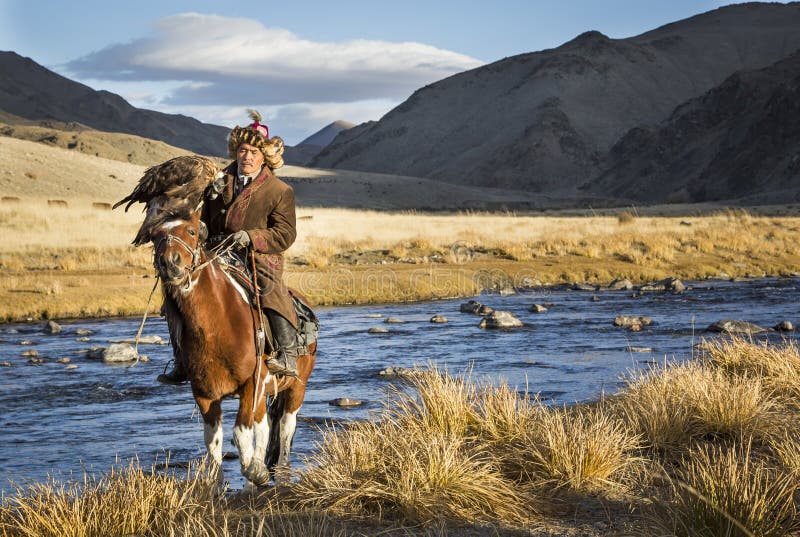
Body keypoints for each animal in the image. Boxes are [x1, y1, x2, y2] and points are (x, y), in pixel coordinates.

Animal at [150, 208, 316, 486]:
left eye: (191, 231)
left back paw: (280, 472)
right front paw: (215, 482)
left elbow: (240, 433)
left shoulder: (252, 384)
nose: (169, 262)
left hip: (296, 387)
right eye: (154, 236)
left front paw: (255, 471)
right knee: (264, 427)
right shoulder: (204, 393)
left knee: (285, 426)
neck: (218, 326)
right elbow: (213, 439)